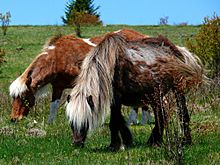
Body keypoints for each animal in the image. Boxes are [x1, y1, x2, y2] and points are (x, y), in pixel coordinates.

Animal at [9, 28, 149, 122]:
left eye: (23, 97)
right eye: (13, 97)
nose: (14, 119)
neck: (58, 57)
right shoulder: (58, 87)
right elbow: (53, 106)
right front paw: (50, 123)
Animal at [66, 31, 204, 150]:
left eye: (85, 122)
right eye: (71, 122)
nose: (77, 144)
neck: (108, 66)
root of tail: (175, 50)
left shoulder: (116, 99)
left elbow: (114, 122)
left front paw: (114, 145)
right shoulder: (114, 101)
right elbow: (119, 121)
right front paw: (127, 141)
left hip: (177, 89)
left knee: (181, 113)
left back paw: (184, 141)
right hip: (155, 95)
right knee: (161, 115)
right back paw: (155, 140)